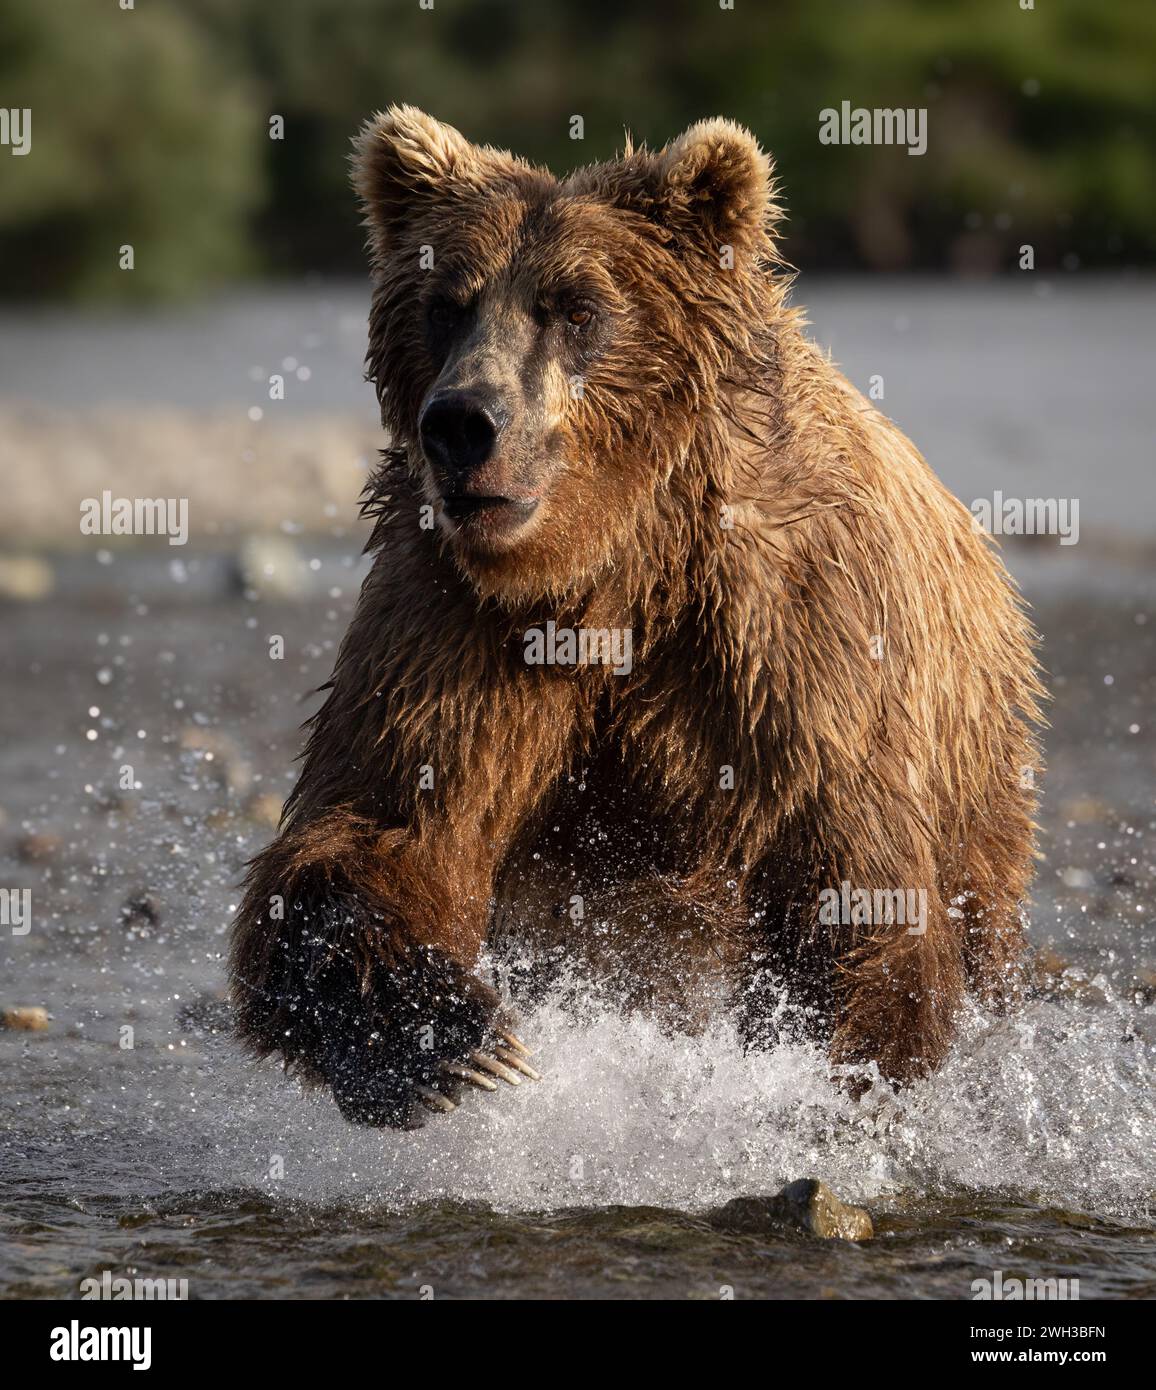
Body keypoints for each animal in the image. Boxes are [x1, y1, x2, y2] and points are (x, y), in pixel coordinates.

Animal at [230, 108, 1044, 1128]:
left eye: (576, 307)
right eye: (448, 303)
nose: (462, 423)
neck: (620, 561)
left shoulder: (791, 646)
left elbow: (854, 890)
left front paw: (832, 1081)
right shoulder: (462, 621)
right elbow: (387, 821)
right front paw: (454, 1044)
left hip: (977, 779)